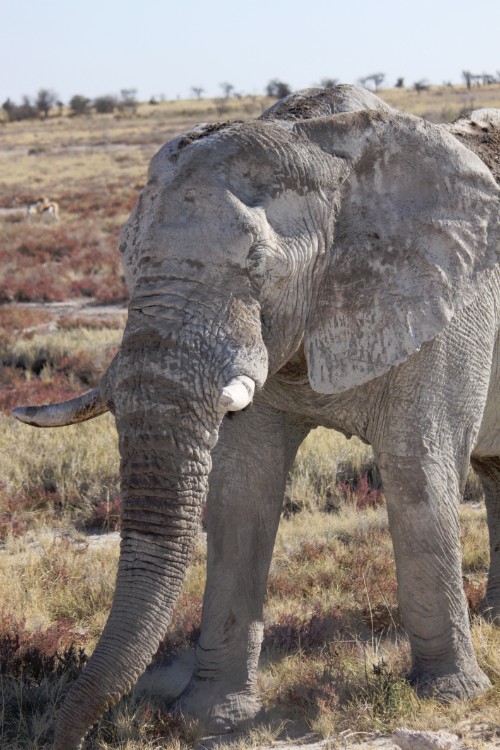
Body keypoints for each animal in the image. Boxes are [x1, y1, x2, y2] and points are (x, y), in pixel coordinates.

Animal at [12, 85, 500, 748]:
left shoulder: (448, 303)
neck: (324, 148)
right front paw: (208, 716)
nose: (63, 738)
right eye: (125, 261)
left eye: (260, 270)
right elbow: (243, 488)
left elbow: (419, 474)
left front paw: (448, 697)